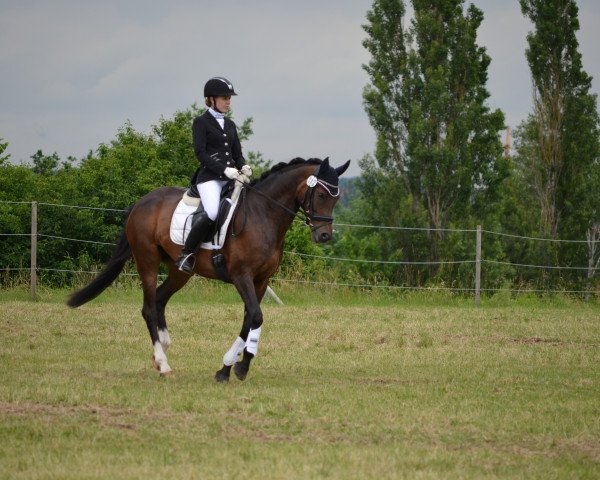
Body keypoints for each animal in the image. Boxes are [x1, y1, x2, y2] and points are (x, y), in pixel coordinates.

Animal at [67, 158, 350, 382]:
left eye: (336, 198)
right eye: (322, 195)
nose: (324, 236)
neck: (263, 215)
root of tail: (141, 202)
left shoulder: (260, 280)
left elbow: (249, 320)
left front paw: (228, 369)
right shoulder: (241, 276)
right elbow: (256, 317)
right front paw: (239, 367)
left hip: (180, 270)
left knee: (159, 299)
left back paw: (162, 352)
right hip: (146, 260)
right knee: (148, 307)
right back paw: (164, 364)